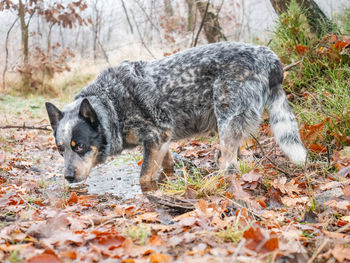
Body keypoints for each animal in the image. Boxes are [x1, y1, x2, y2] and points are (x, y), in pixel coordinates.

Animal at [45, 42, 306, 193]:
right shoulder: (161, 139)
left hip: (227, 122)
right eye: (60, 150)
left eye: (79, 146)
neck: (111, 104)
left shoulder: (156, 138)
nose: (68, 177)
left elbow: (144, 178)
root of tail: (271, 59)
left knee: (230, 166)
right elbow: (167, 166)